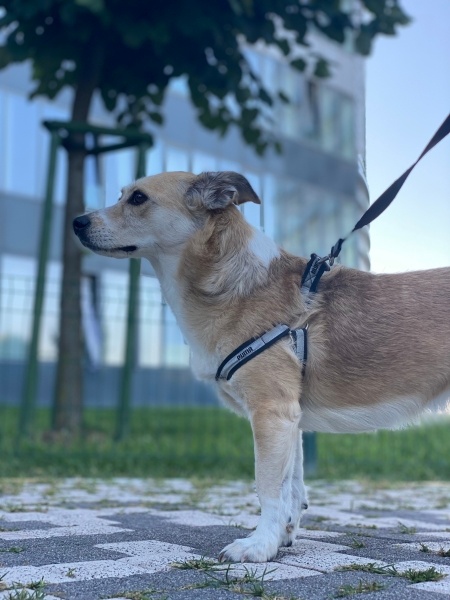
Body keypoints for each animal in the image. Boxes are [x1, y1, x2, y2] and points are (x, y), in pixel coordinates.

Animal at [74, 171, 450, 564]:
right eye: (123, 194)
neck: (236, 282)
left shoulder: (271, 413)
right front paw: (281, 537)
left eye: (138, 198)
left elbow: (269, 488)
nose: (76, 222)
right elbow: (292, 489)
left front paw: (258, 545)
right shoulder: (291, 421)